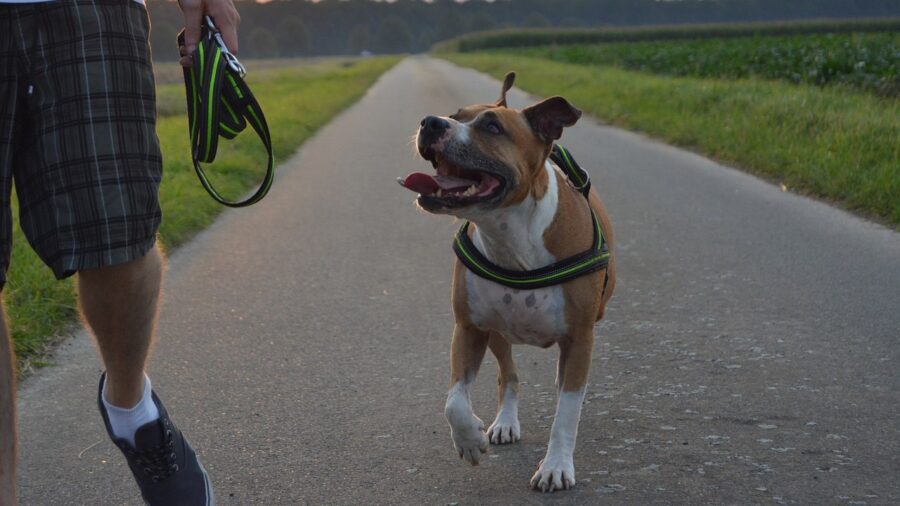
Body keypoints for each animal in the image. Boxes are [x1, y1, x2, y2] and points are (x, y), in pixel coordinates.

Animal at [400, 73, 616, 492]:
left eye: (492, 127)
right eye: (455, 115)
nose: (431, 122)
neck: (510, 236)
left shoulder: (580, 338)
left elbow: (567, 412)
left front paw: (556, 466)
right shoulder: (469, 328)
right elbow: (454, 401)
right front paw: (469, 440)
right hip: (498, 333)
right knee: (509, 375)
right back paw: (504, 423)